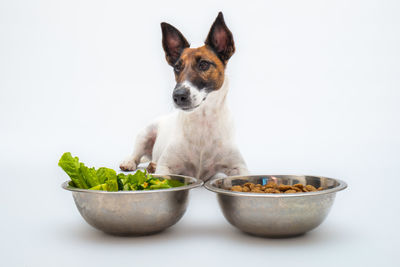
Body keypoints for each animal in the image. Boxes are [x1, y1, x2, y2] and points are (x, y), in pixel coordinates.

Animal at [120, 11, 248, 181]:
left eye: (204, 64)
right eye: (177, 67)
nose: (178, 96)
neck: (202, 121)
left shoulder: (239, 166)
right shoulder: (166, 166)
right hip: (145, 133)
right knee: (136, 154)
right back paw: (130, 162)